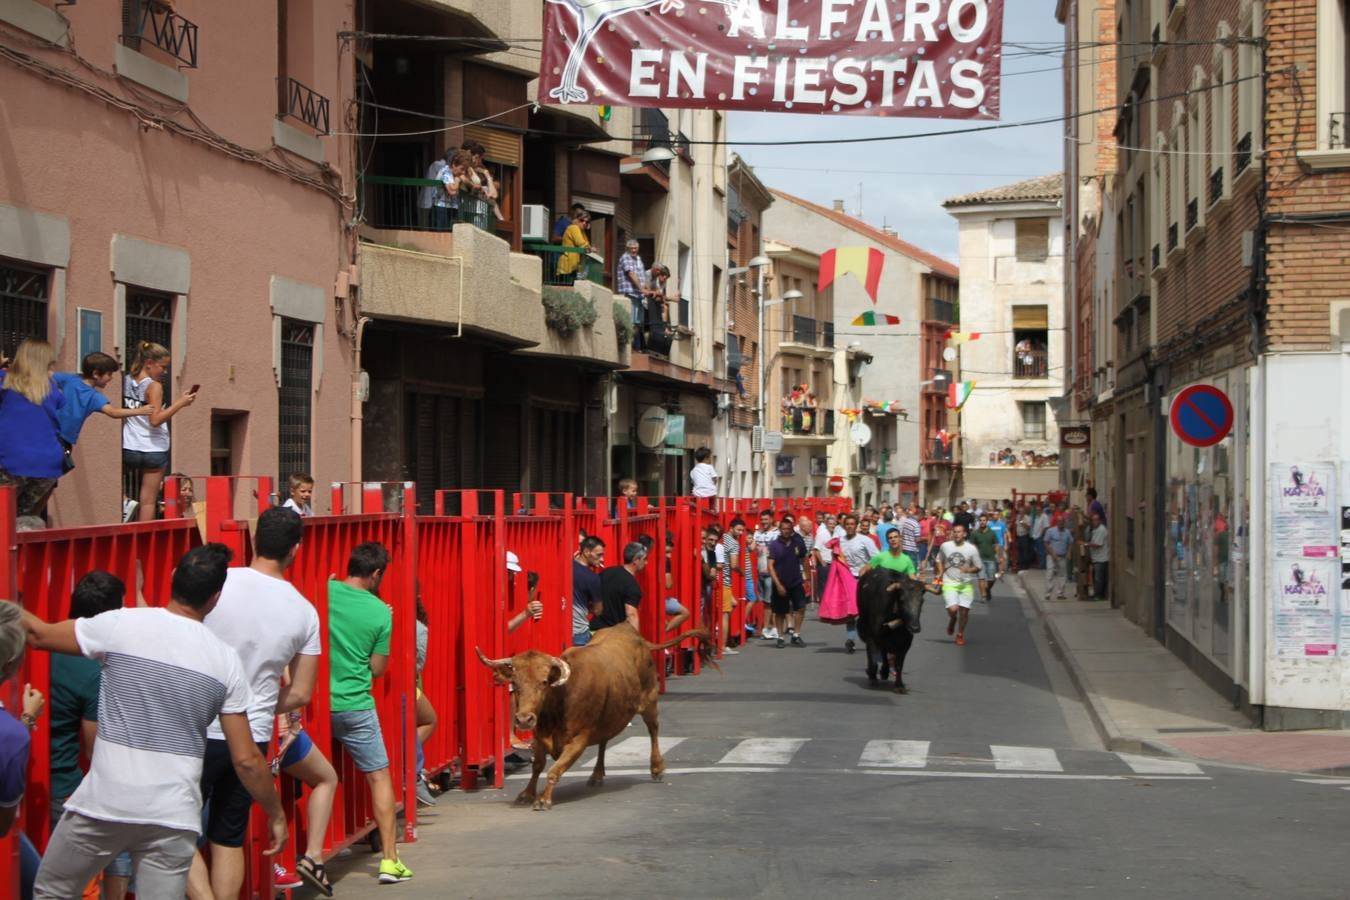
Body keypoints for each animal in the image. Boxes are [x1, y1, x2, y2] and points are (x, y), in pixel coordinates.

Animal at [475, 626, 718, 809]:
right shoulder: (540, 735)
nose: (524, 719)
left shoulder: (579, 739)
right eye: (515, 684)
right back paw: (597, 774)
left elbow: (554, 769)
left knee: (654, 730)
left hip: (649, 702)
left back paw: (657, 767)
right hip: (608, 717)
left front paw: (543, 799)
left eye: (544, 682)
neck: (560, 700)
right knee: (603, 742)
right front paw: (526, 794)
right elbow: (537, 766)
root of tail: (637, 637)